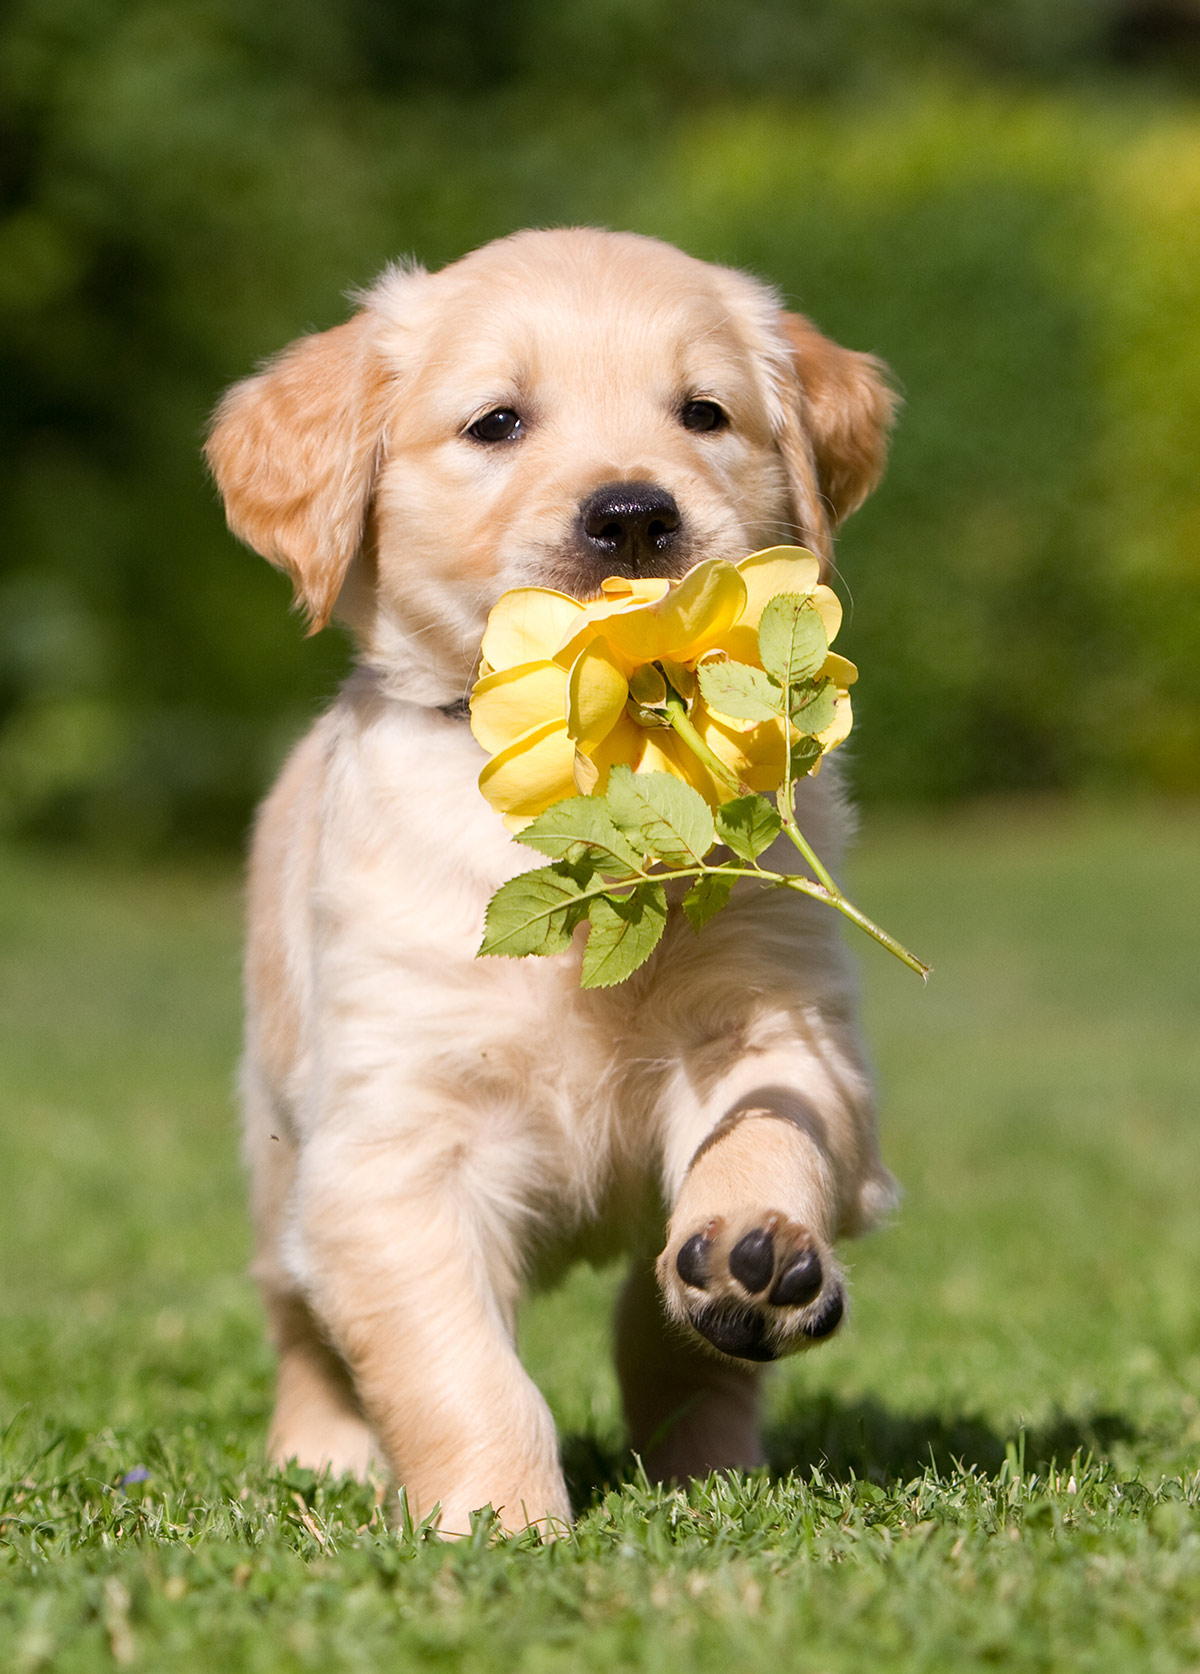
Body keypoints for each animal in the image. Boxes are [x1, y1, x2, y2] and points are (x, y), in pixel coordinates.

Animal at [208, 229, 897, 1533]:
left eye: (704, 413)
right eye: (496, 422)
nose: (632, 514)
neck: (597, 779)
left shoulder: (777, 1016)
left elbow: (772, 1123)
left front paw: (757, 1240)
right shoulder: (389, 1147)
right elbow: (457, 1370)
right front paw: (502, 1526)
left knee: (666, 1341)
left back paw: (720, 1420)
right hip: (277, 1162)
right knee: (299, 1326)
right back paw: (320, 1459)